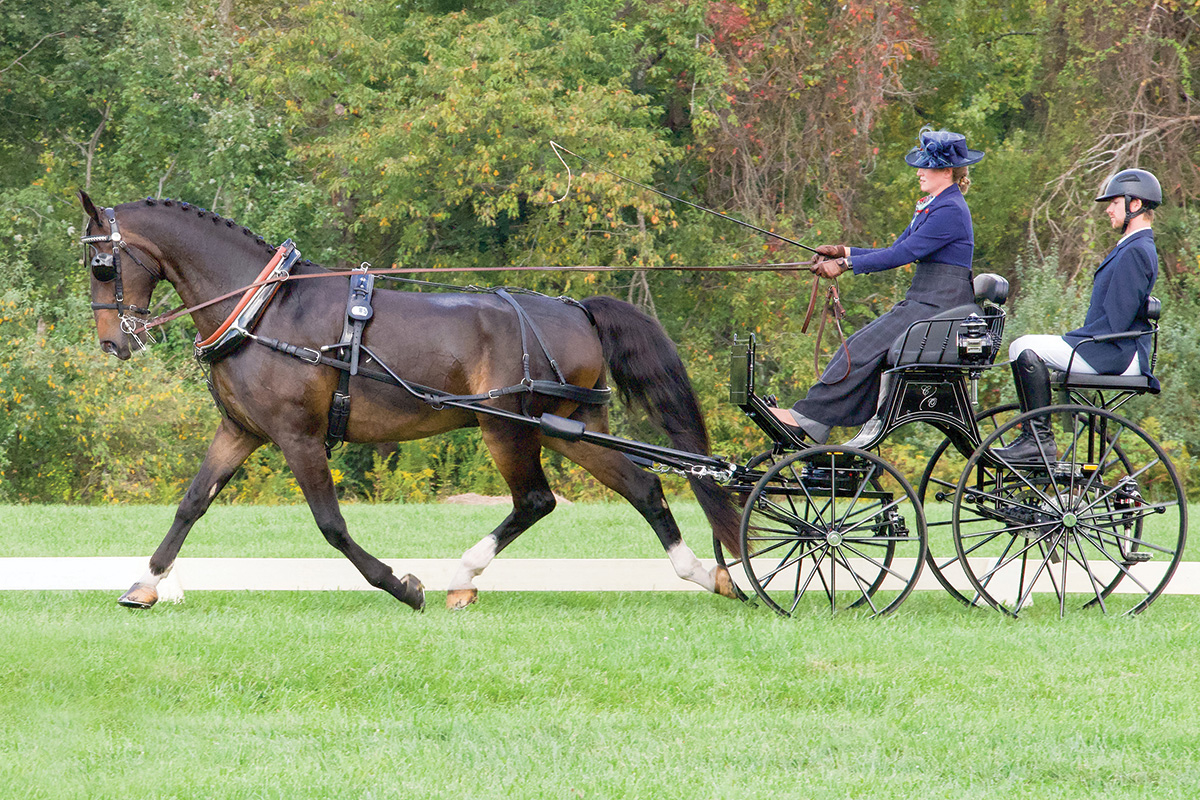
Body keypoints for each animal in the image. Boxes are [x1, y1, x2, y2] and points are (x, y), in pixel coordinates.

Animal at [77, 194, 739, 614]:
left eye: (102, 265)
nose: (113, 342)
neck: (263, 309)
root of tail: (576, 309)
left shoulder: (298, 436)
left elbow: (331, 525)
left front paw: (402, 585)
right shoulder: (241, 431)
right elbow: (191, 504)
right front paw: (145, 583)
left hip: (510, 428)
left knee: (535, 500)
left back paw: (461, 576)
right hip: (567, 425)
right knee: (643, 487)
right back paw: (704, 572)